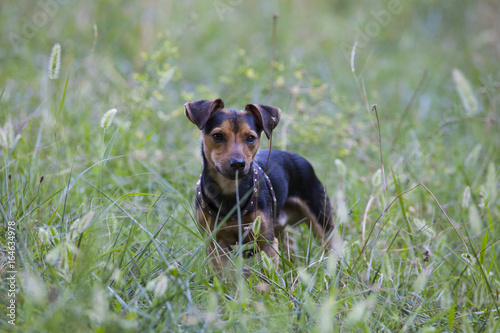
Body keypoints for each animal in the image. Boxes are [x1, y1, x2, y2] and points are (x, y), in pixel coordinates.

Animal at [186, 98, 334, 272]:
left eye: (250, 138)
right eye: (217, 136)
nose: (238, 163)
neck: (230, 190)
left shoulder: (266, 242)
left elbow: (268, 274)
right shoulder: (216, 245)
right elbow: (226, 275)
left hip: (320, 219)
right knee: (289, 244)